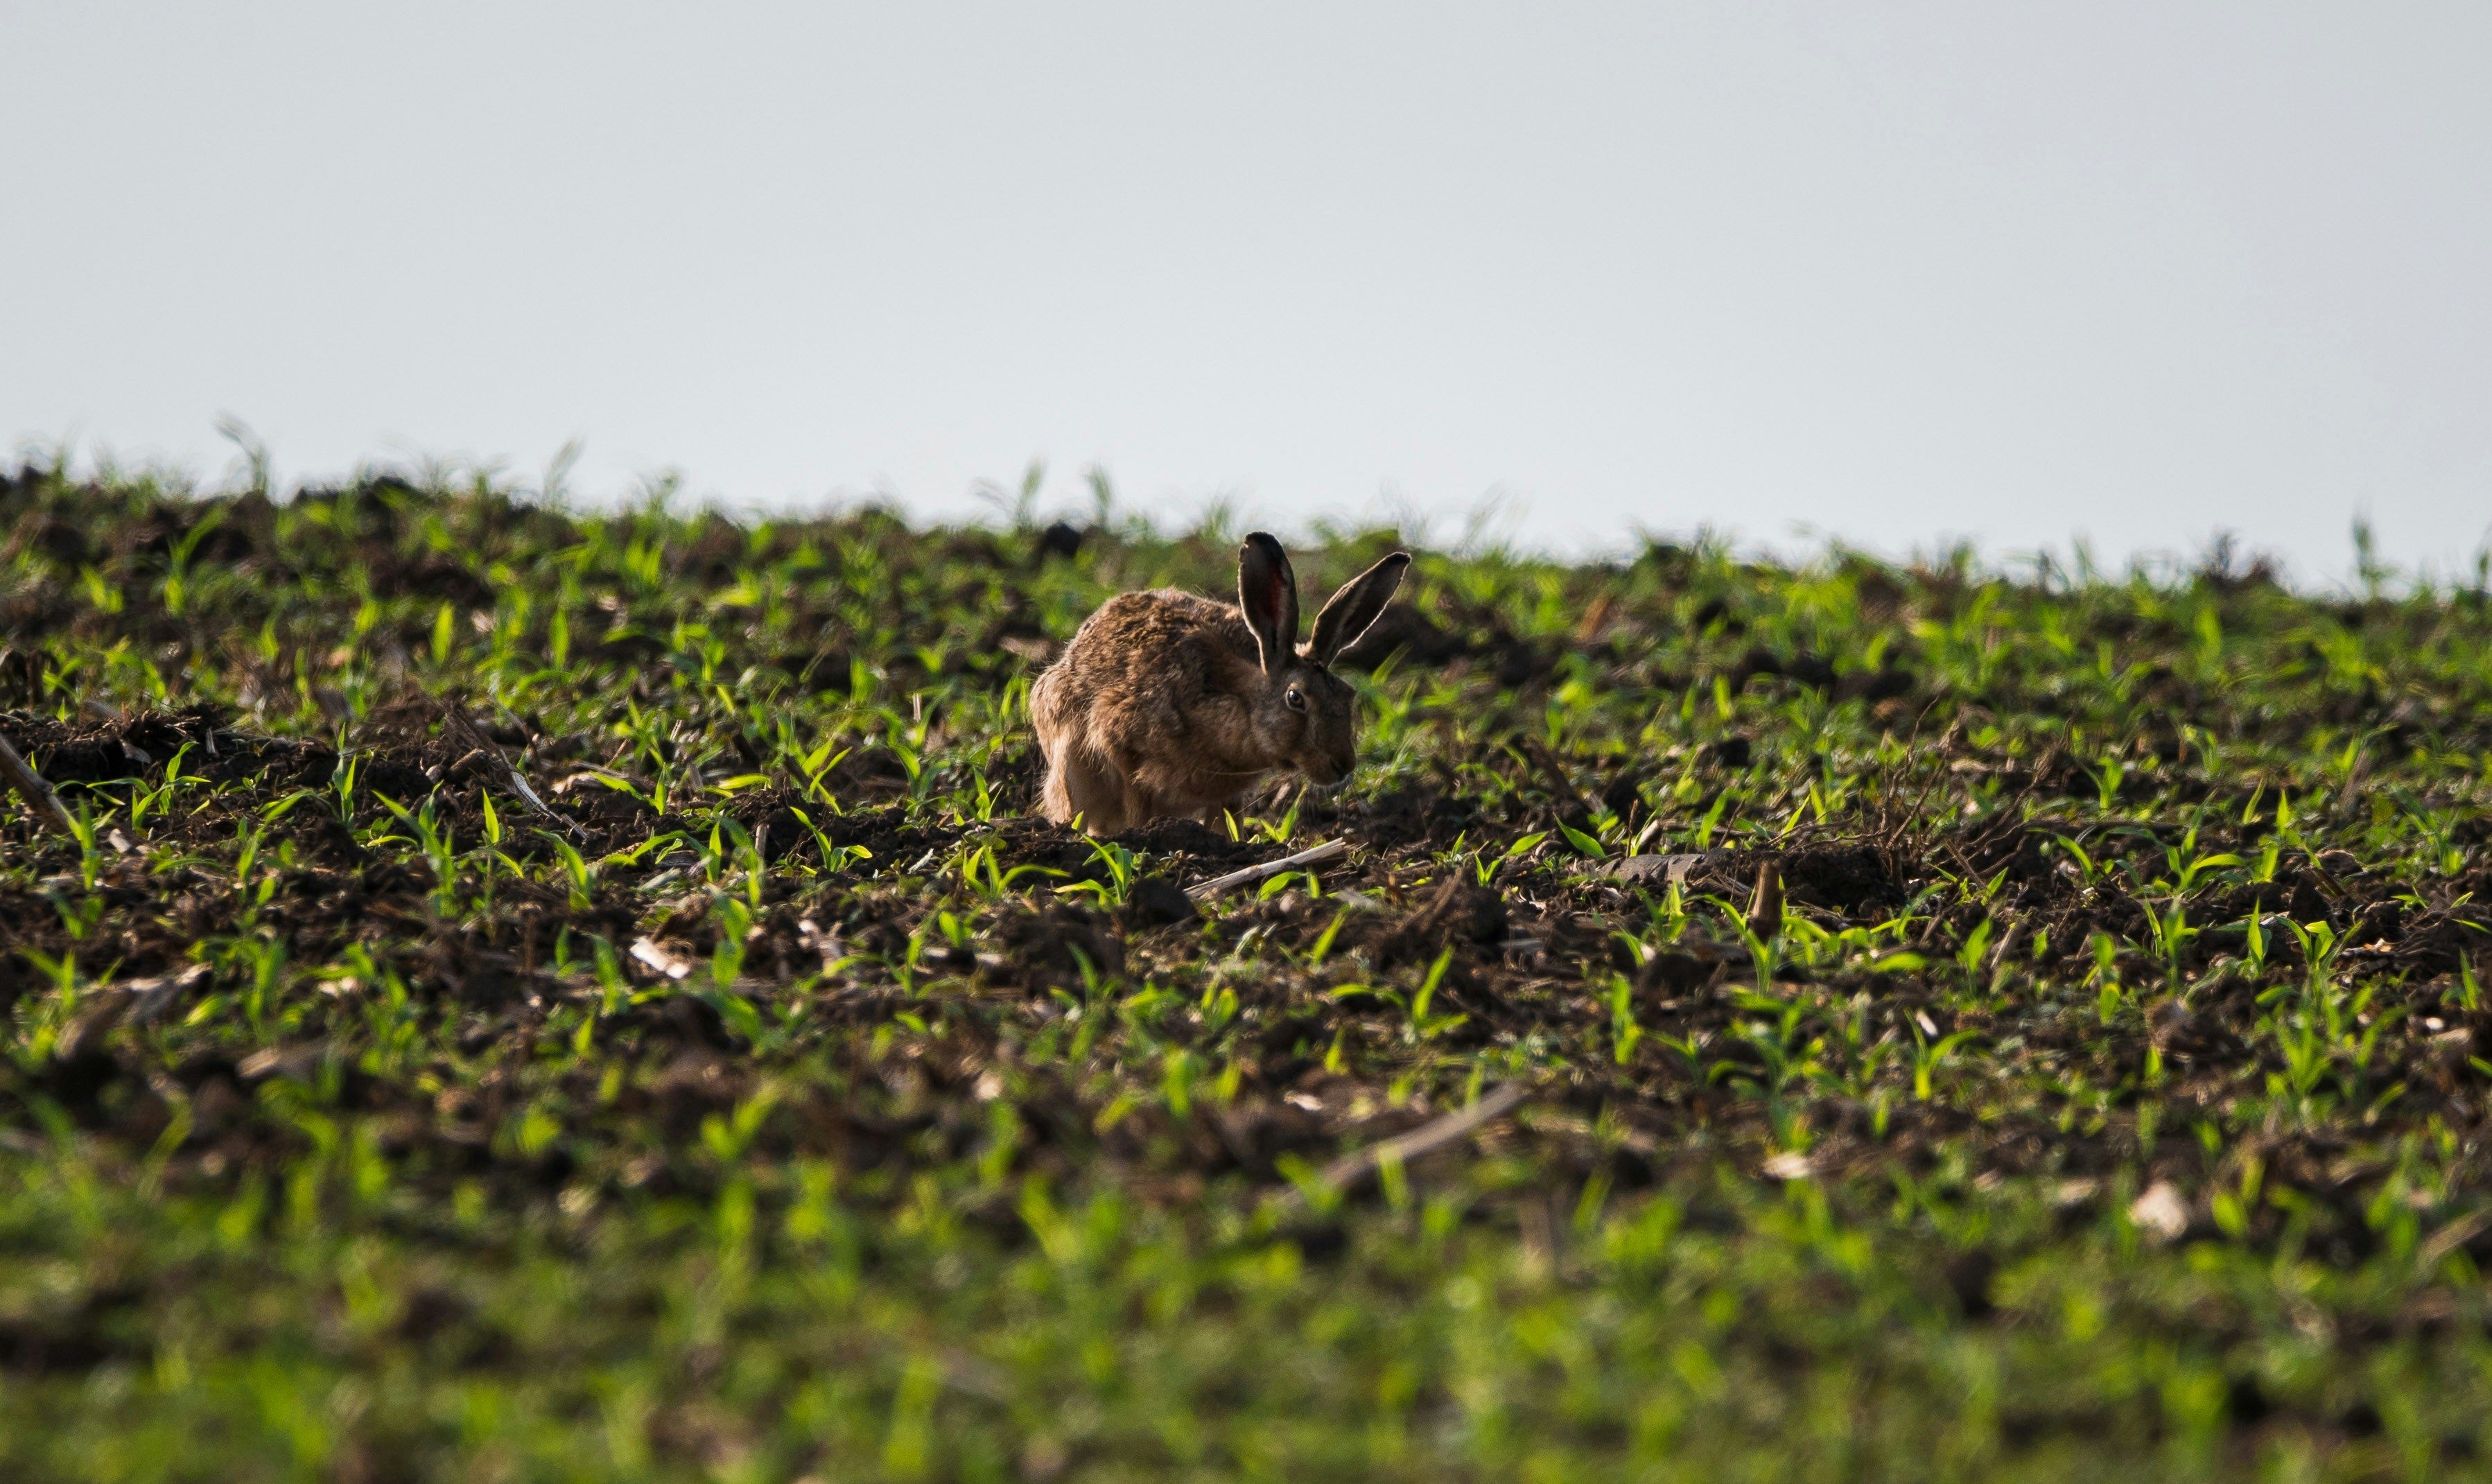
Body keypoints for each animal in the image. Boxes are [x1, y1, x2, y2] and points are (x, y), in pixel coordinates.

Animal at [1031, 532, 1410, 836]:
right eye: (1296, 698)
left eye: (1348, 695)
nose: (1344, 765)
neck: (1240, 703)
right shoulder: (1123, 745)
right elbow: (1136, 805)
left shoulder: (1227, 794)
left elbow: (1227, 823)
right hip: (1070, 766)